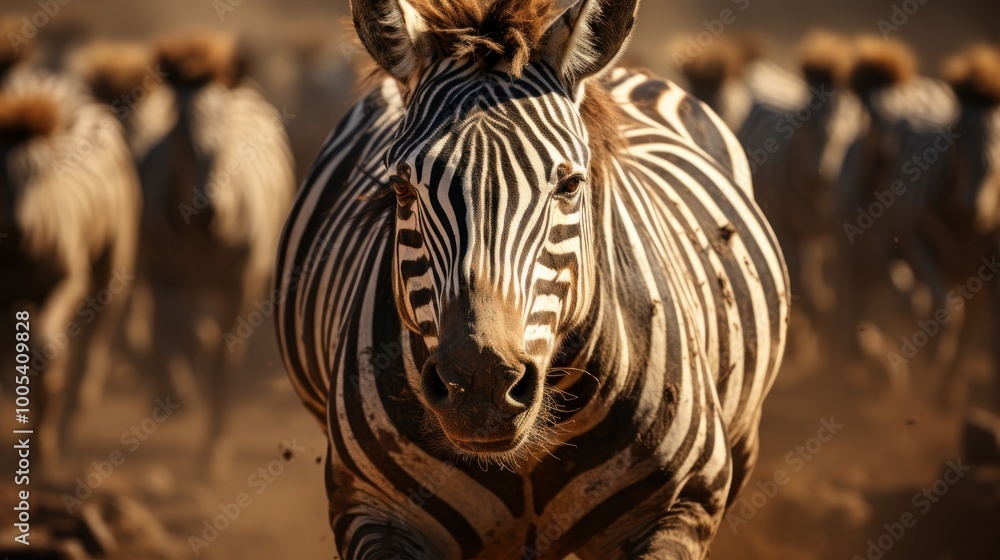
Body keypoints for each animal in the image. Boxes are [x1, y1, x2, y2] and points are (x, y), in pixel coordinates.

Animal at [0, 66, 141, 469]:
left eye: (41, 175)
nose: (19, 231)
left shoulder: (68, 281)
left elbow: (47, 354)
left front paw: (43, 452)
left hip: (113, 266)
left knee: (95, 338)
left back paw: (70, 422)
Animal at [131, 34, 295, 474]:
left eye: (226, 136)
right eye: (178, 134)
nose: (206, 213)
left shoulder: (240, 284)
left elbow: (223, 363)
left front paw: (213, 456)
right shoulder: (164, 275)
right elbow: (180, 331)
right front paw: (181, 390)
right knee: (165, 326)